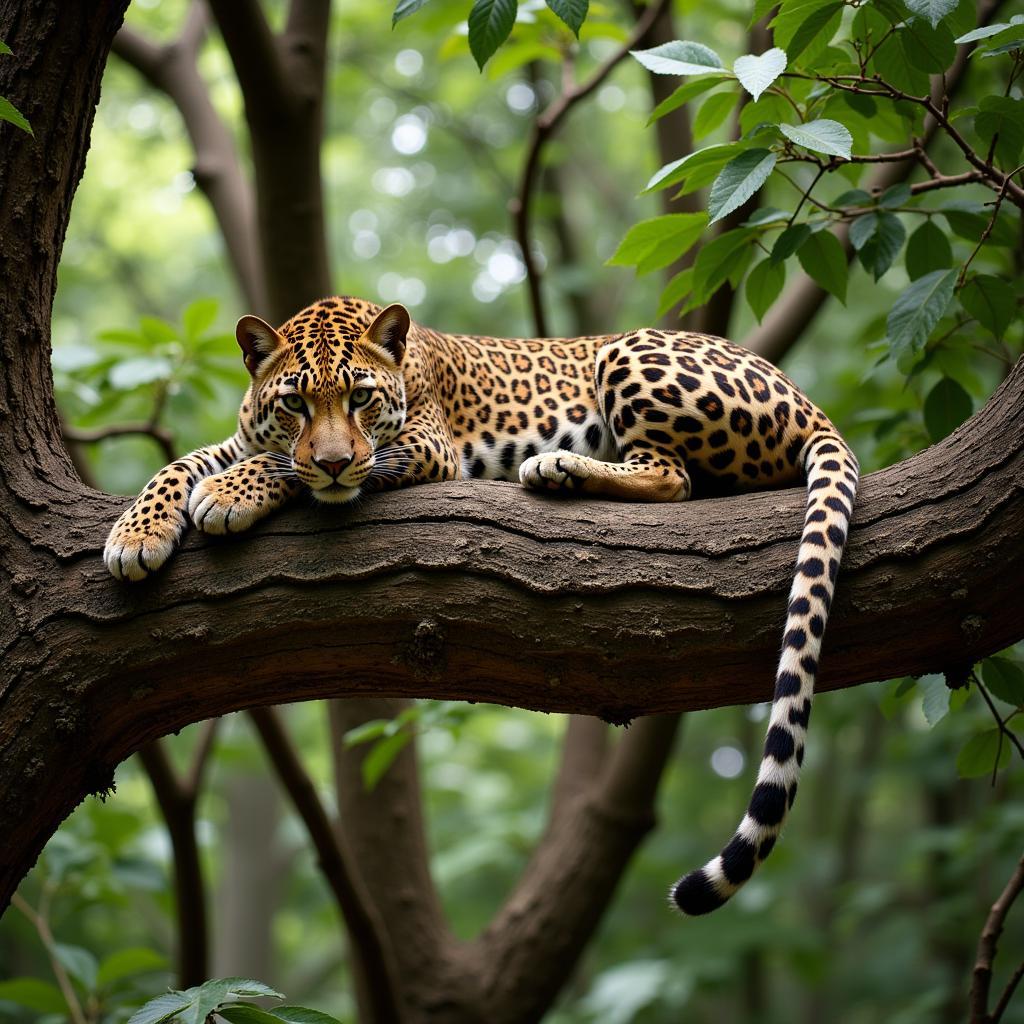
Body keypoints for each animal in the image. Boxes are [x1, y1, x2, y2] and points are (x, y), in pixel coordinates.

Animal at [101, 292, 856, 917]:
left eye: (361, 398)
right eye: (294, 404)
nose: (338, 460)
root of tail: (807, 399)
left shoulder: (420, 447)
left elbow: (288, 469)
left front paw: (231, 494)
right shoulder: (242, 439)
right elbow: (180, 464)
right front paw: (137, 533)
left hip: (629, 353)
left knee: (673, 477)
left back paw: (555, 467)